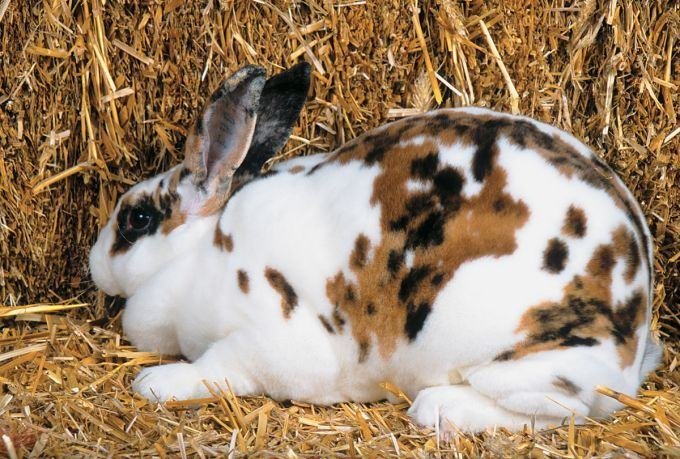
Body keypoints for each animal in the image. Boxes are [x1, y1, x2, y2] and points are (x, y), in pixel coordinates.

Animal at [89, 62, 662, 435]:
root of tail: (633, 345)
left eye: (135, 219)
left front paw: (154, 381)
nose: (94, 263)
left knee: (560, 410)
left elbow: (213, 370)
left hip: (527, 365)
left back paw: (437, 408)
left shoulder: (264, 344)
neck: (199, 257)